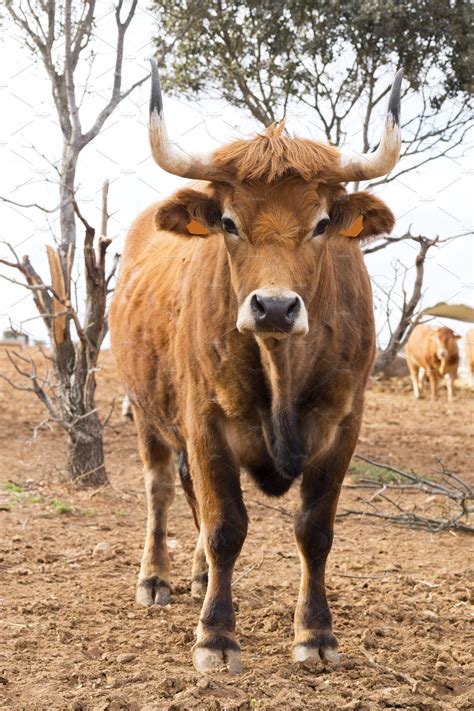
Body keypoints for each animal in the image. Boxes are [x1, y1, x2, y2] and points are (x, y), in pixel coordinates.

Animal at [109, 61, 402, 672]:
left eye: (321, 223)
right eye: (228, 221)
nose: (273, 306)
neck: (281, 369)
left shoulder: (343, 426)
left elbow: (314, 531)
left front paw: (315, 634)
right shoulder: (205, 423)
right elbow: (226, 525)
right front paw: (216, 637)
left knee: (190, 495)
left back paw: (198, 577)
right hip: (147, 413)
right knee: (161, 490)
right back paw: (157, 578)